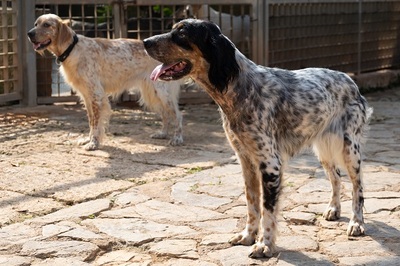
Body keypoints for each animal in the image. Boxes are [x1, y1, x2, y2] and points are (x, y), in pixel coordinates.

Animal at [27, 14, 184, 151]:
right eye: (35, 24)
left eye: (46, 25)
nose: (29, 34)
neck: (72, 50)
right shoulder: (87, 96)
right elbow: (91, 121)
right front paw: (88, 139)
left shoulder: (96, 95)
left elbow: (97, 123)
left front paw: (94, 143)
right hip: (152, 94)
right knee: (166, 114)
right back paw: (162, 134)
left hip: (162, 93)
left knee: (177, 115)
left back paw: (177, 139)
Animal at [144, 18, 372, 258]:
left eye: (181, 33)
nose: (145, 41)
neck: (239, 89)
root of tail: (350, 79)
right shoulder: (246, 161)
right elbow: (252, 205)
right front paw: (248, 236)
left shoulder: (270, 164)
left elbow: (267, 211)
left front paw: (265, 245)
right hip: (324, 151)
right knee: (335, 178)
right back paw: (333, 209)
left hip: (349, 150)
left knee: (358, 188)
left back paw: (357, 223)